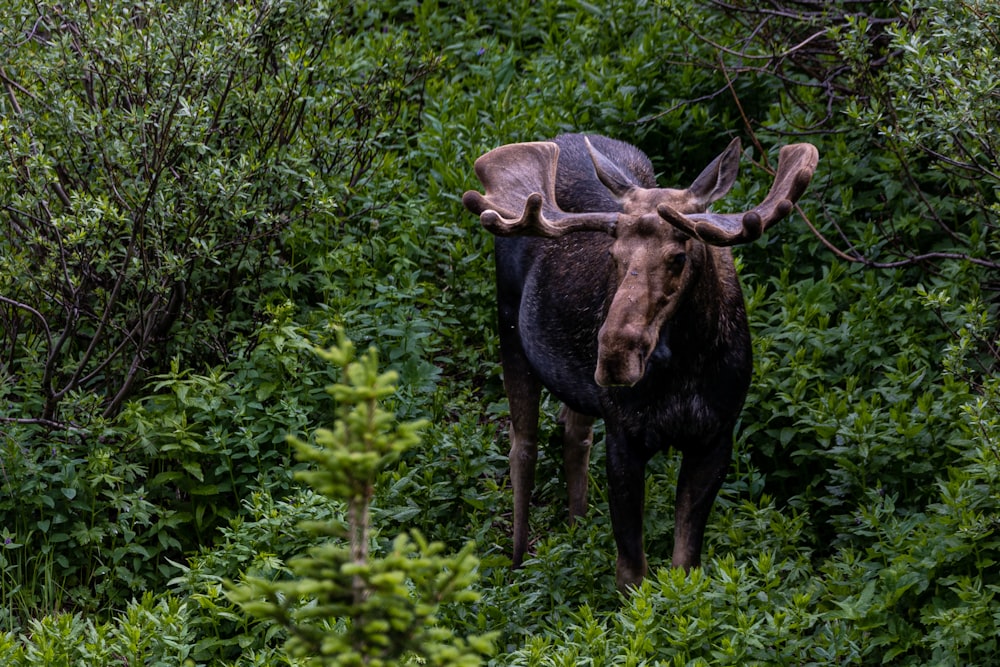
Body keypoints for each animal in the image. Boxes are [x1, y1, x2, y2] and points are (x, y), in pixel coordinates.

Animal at [464, 134, 816, 588]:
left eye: (679, 256)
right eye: (613, 255)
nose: (615, 354)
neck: (686, 368)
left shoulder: (716, 435)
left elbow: (685, 562)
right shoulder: (625, 436)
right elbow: (632, 569)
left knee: (573, 431)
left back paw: (577, 531)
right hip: (509, 328)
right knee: (522, 446)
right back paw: (518, 566)